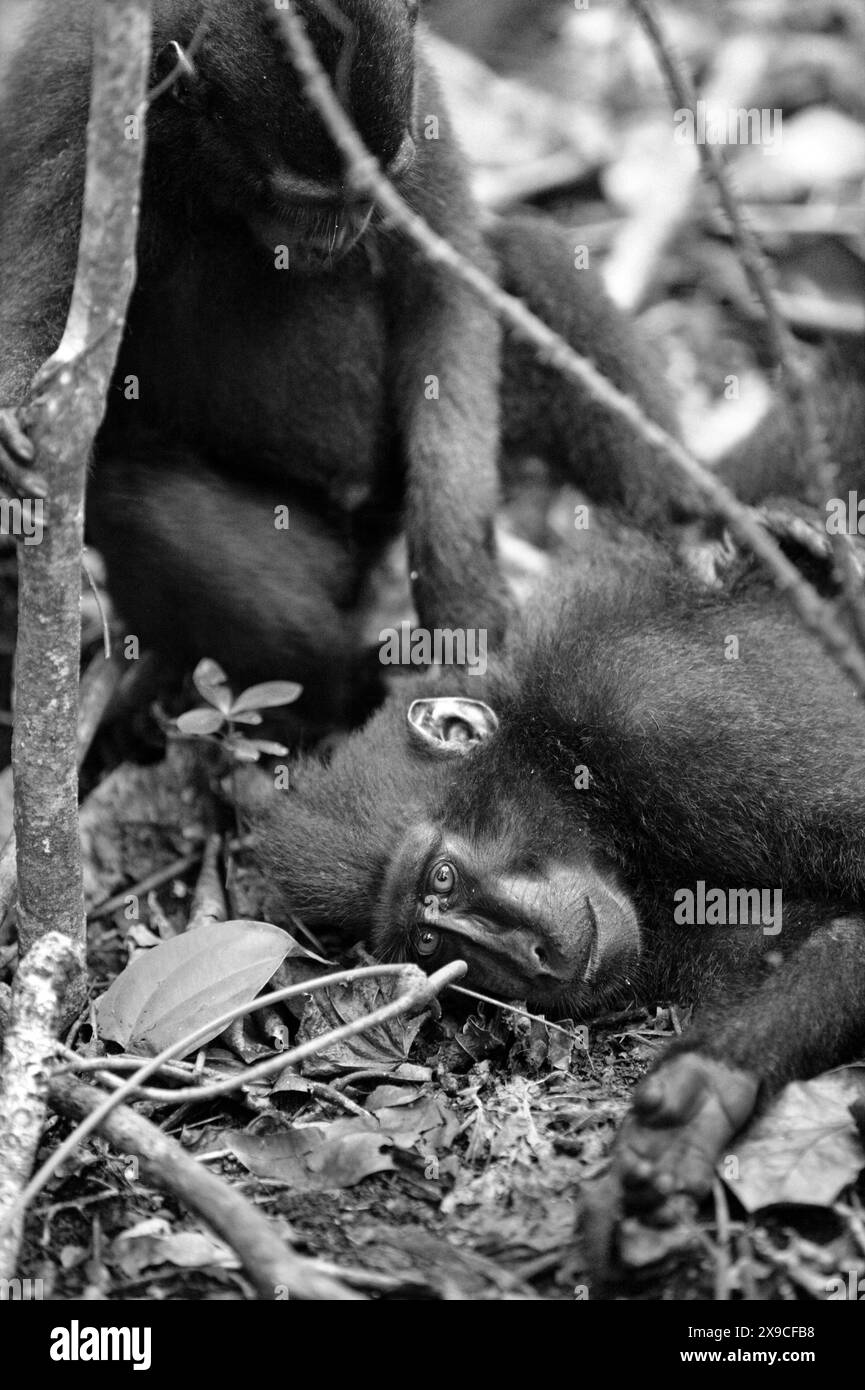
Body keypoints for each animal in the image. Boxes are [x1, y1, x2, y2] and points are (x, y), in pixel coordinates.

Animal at [0, 0, 696, 735]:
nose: (349, 229)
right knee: (139, 500)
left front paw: (462, 596)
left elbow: (445, 293)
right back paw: (345, 687)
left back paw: (689, 539)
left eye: (371, 187)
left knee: (528, 254)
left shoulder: (421, 100)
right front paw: (11, 422)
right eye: (308, 201)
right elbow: (42, 314)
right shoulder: (81, 119)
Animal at [253, 549, 865, 1229]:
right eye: (428, 947)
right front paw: (706, 1094)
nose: (529, 957)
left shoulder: (668, 718)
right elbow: (839, 935)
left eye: (443, 875)